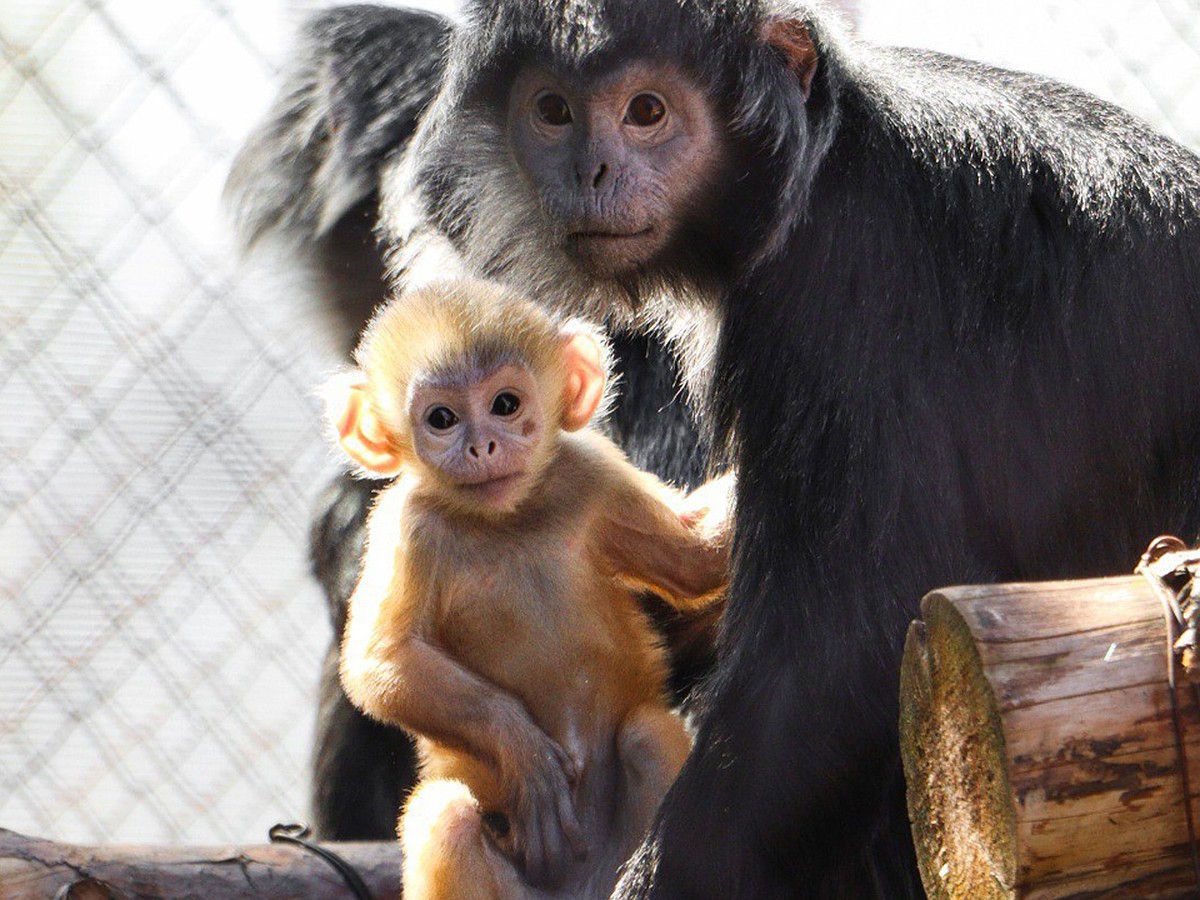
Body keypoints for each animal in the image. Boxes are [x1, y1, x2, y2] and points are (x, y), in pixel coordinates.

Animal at [328, 278, 724, 897]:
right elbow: (380, 662)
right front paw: (523, 750)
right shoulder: (406, 524)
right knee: (447, 815)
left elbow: (696, 560)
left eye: (505, 405)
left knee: (646, 733)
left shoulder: (592, 471)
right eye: (441, 418)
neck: (509, 521)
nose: (483, 447)